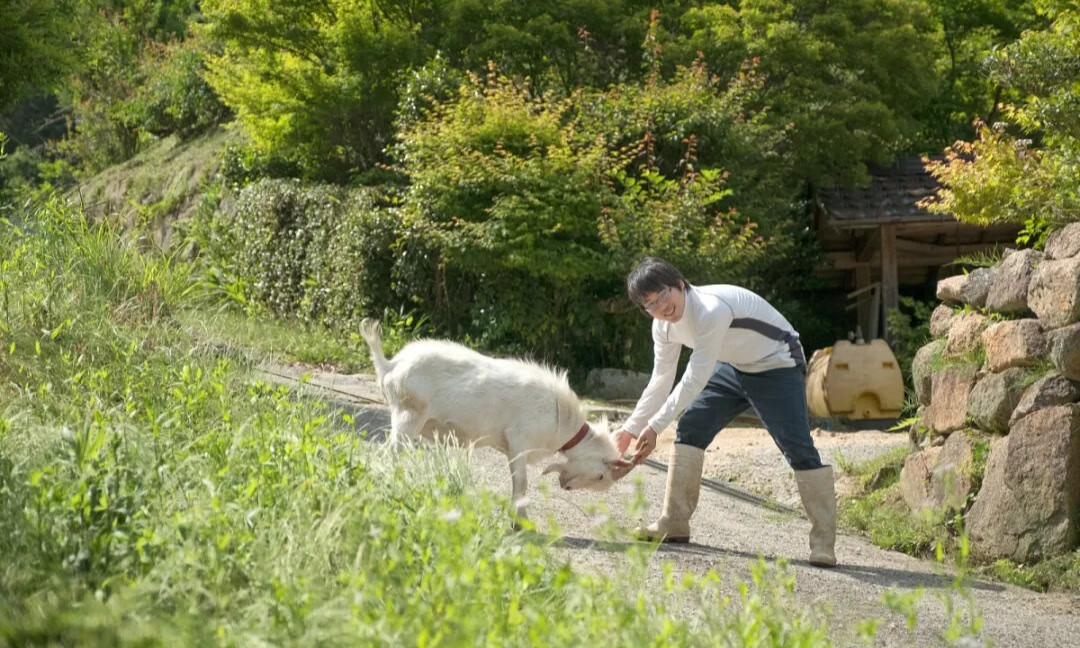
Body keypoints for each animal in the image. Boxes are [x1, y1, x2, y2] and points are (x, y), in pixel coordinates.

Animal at [362, 319, 630, 520]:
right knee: (388, 454)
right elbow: (522, 482)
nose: (566, 486)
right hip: (409, 416)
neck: (561, 419)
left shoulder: (510, 448)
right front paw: (521, 522)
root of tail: (390, 365)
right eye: (601, 476)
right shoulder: (520, 439)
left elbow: (515, 482)